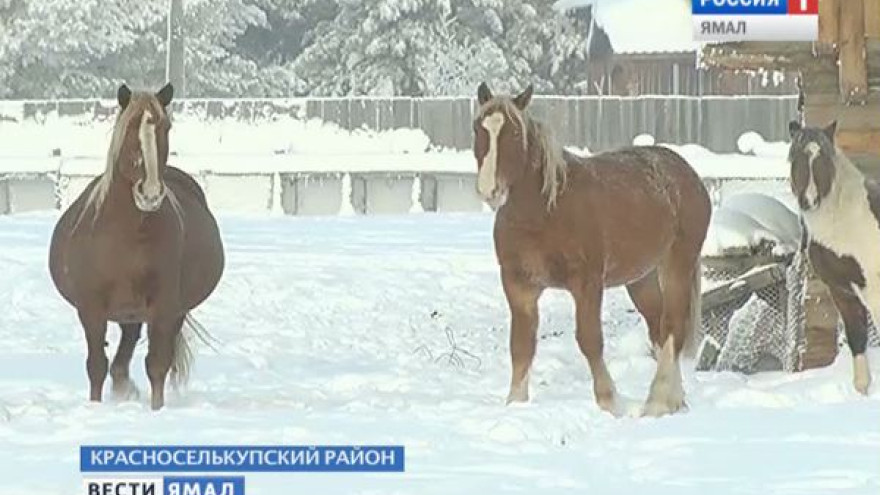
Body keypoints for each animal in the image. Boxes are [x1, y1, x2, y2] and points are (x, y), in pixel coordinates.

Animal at [48, 84, 225, 410]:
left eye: (166, 127)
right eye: (130, 127)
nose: (150, 193)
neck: (128, 236)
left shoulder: (164, 308)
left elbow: (156, 365)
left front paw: (157, 410)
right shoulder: (91, 309)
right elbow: (96, 366)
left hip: (161, 312)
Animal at [470, 83, 712, 416]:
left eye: (515, 133)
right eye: (478, 128)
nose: (489, 190)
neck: (545, 211)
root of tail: (688, 174)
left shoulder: (587, 284)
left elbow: (589, 340)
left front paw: (610, 403)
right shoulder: (519, 286)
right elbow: (521, 346)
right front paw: (515, 403)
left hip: (677, 264)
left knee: (673, 326)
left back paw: (658, 402)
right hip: (642, 279)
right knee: (659, 329)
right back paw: (675, 400)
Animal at [788, 120, 876, 396]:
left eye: (823, 159)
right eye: (795, 157)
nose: (809, 200)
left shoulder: (873, 288)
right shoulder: (842, 290)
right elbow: (857, 338)